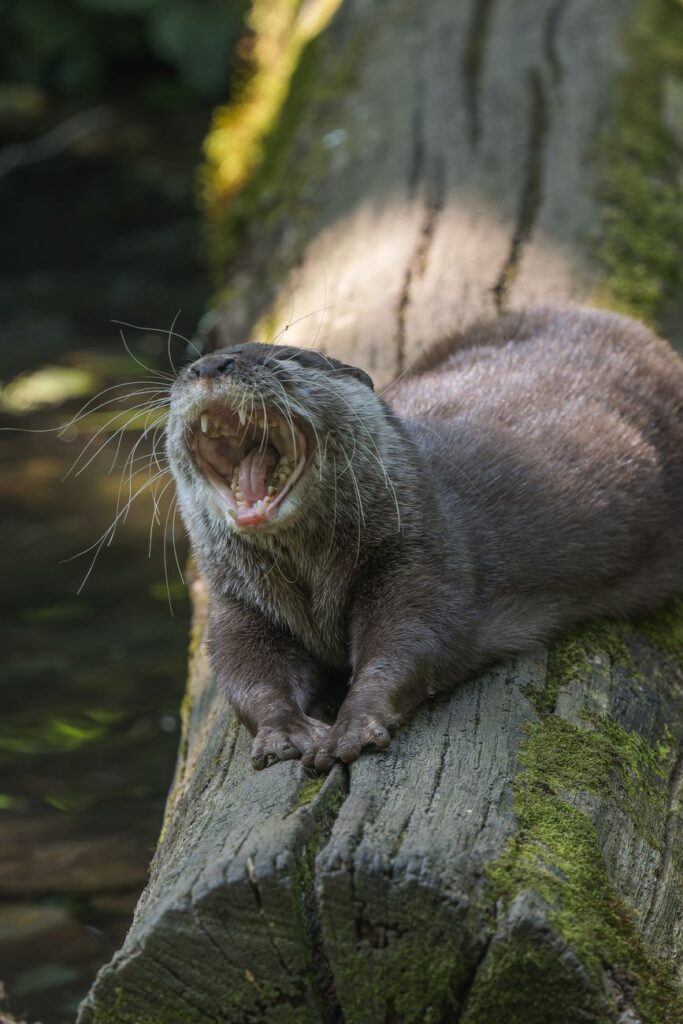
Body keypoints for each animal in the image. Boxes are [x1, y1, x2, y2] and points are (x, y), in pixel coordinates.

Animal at [166, 306, 683, 771]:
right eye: (187, 369)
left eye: (286, 358)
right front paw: (284, 728)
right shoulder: (238, 603)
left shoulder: (422, 557)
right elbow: (245, 671)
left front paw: (353, 724)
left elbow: (410, 644)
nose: (209, 367)